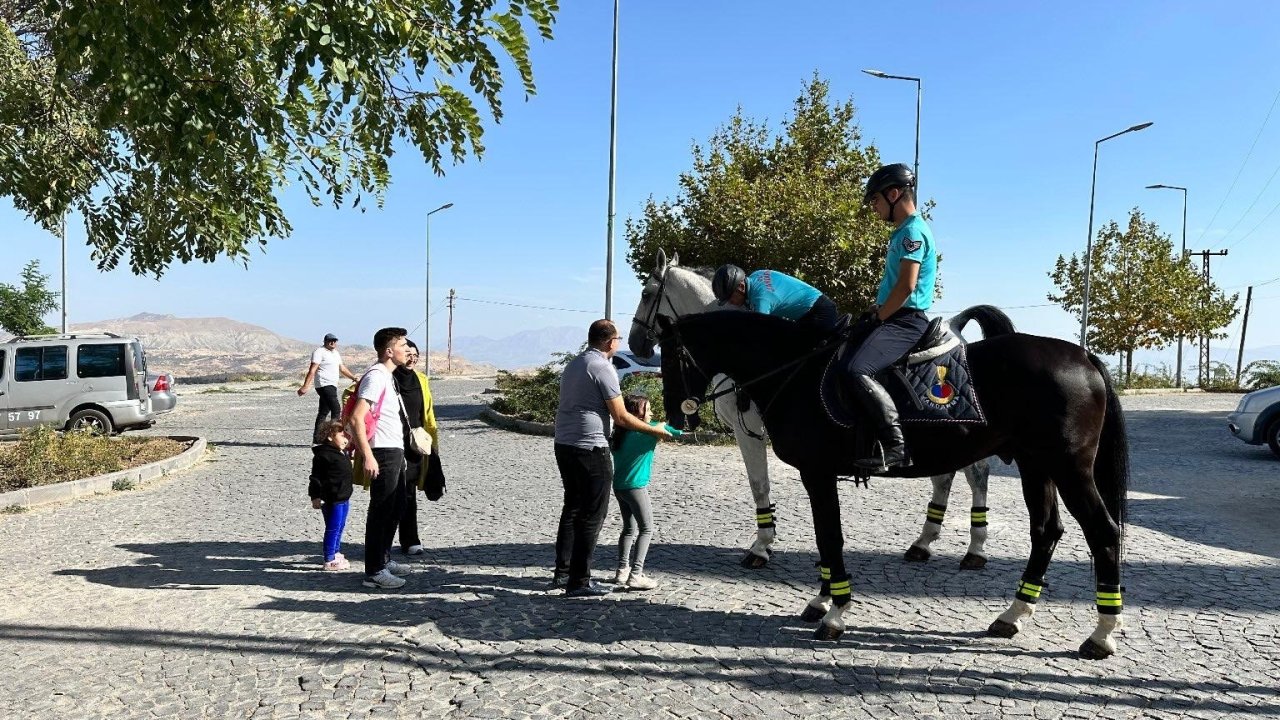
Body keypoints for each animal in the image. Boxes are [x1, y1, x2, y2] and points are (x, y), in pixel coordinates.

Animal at [624, 249, 993, 568]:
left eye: (646, 292)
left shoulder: (749, 432)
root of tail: (955, 330)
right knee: (945, 476)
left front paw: (761, 546)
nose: (635, 344)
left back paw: (974, 549)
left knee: (976, 475)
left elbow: (759, 484)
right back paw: (923, 543)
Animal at [660, 307, 1131, 655]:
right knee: (1046, 531)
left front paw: (835, 614)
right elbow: (825, 539)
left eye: (670, 357)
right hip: (1037, 466)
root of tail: (1083, 357)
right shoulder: (818, 476)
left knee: (1103, 532)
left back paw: (1101, 633)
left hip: (1069, 469)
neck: (796, 373)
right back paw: (1012, 616)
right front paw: (822, 600)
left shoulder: (817, 473)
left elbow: (830, 538)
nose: (677, 416)